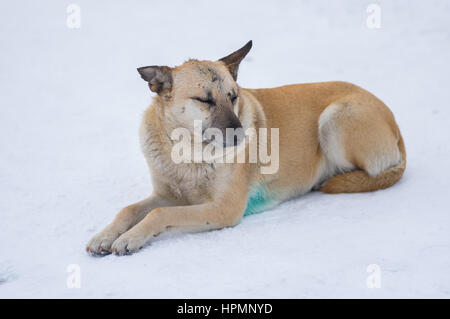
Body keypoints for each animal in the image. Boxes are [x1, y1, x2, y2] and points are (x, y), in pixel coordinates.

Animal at [86, 40, 406, 256]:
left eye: (233, 96)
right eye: (204, 100)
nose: (242, 136)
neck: (186, 155)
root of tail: (395, 124)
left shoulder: (223, 209)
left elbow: (160, 215)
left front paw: (130, 238)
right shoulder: (167, 194)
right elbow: (129, 209)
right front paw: (105, 235)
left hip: (333, 119)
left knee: (373, 174)